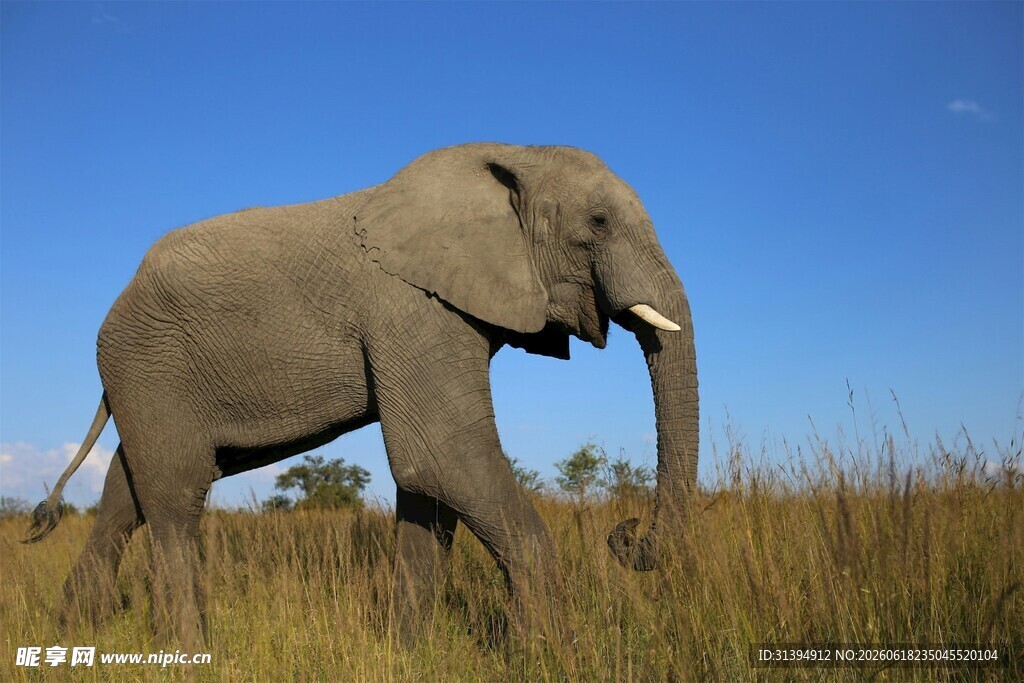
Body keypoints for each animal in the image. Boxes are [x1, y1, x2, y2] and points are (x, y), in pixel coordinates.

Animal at [25, 143, 698, 647]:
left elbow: (431, 485)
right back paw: (190, 650)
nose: (625, 532)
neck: (511, 157)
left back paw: (72, 633)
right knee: (175, 494)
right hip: (148, 364)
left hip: (149, 377)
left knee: (126, 492)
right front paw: (550, 655)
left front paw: (410, 651)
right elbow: (442, 457)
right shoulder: (410, 307)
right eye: (599, 223)